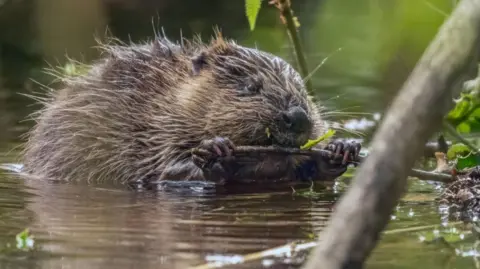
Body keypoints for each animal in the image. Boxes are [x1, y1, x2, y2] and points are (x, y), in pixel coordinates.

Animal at [22, 32, 360, 185]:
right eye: (251, 87)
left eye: (304, 90)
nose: (298, 117)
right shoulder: (147, 126)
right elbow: (161, 170)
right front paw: (216, 150)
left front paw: (343, 148)